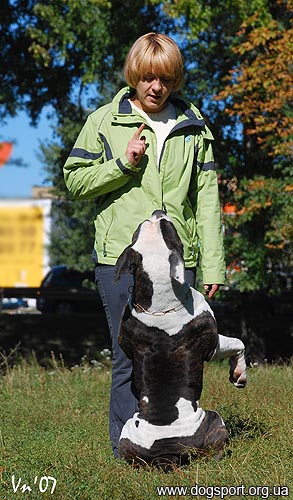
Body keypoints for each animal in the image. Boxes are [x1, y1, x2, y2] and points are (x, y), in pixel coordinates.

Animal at [113, 210, 245, 468]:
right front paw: (239, 375)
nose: (157, 212)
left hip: (128, 433)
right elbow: (238, 343)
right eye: (169, 228)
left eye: (139, 228)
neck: (161, 303)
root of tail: (167, 452)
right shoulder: (213, 343)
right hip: (213, 420)